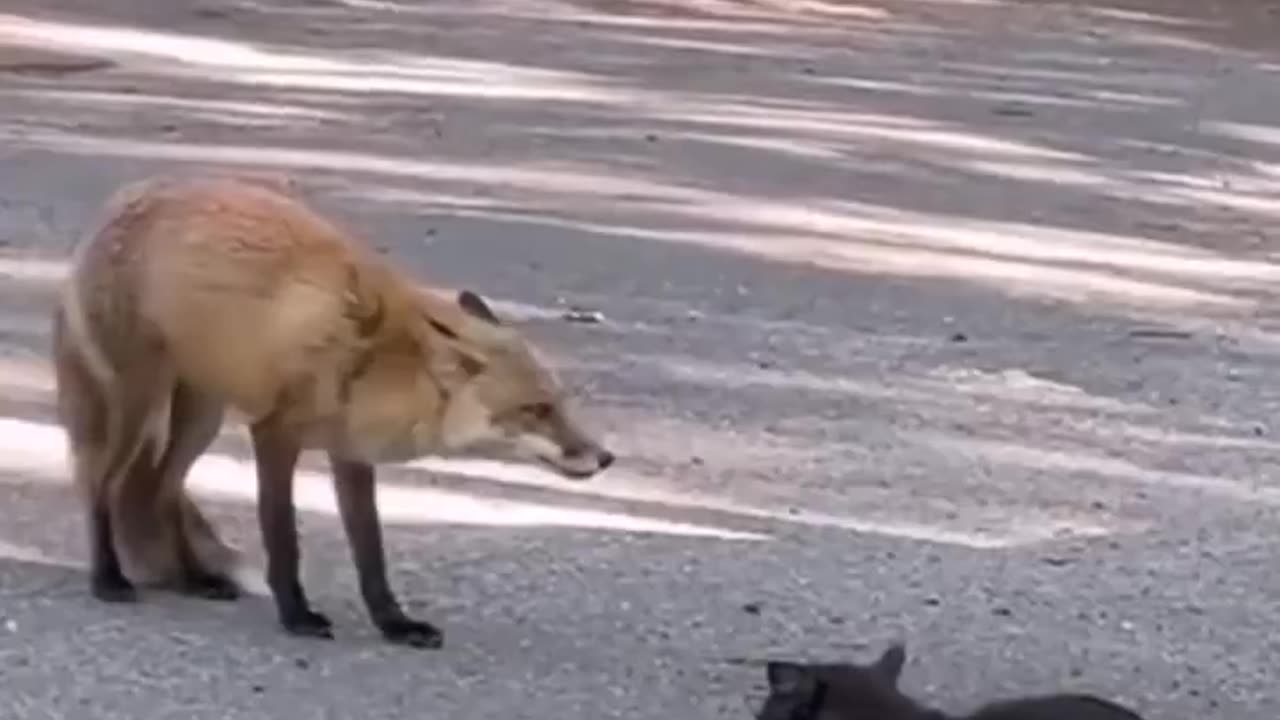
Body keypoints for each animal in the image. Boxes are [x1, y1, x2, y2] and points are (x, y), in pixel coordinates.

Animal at [51, 172, 615, 649]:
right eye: (536, 409)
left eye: (561, 402)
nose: (605, 458)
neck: (380, 361)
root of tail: (118, 201)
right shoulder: (275, 433)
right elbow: (283, 536)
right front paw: (296, 615)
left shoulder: (352, 452)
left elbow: (371, 554)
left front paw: (394, 624)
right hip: (137, 405)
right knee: (101, 484)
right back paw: (107, 578)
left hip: (201, 418)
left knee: (161, 491)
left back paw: (194, 579)